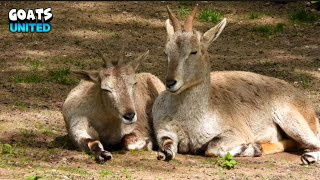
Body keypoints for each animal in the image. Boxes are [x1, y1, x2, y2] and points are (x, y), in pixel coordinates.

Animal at [152, 5, 320, 165]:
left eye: (194, 51)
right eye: (166, 52)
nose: (170, 82)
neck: (190, 122)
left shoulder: (237, 131)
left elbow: (212, 147)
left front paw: (250, 148)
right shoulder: (163, 130)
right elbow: (166, 146)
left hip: (289, 118)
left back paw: (308, 156)